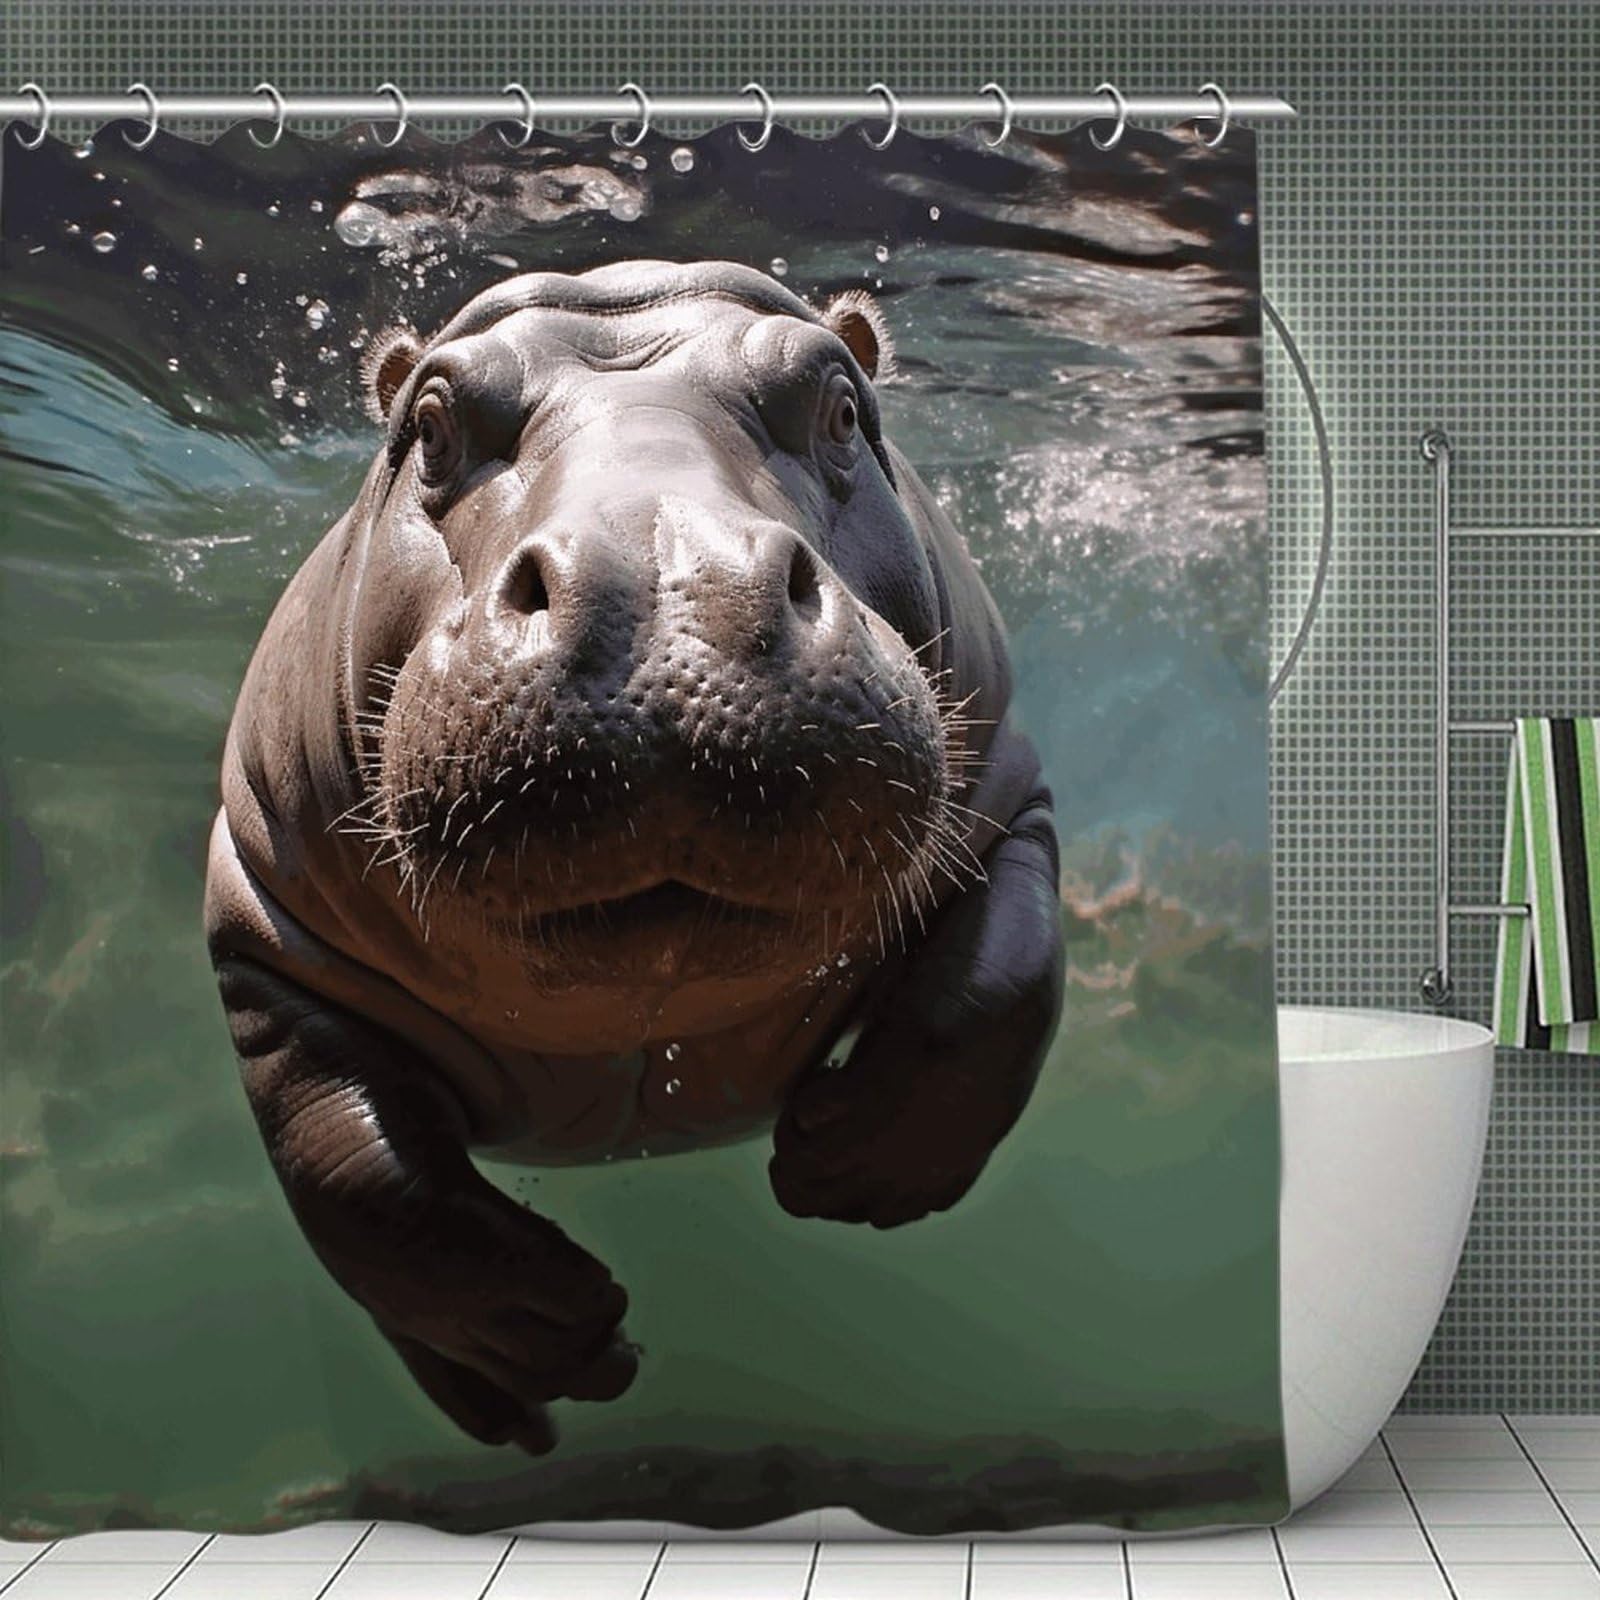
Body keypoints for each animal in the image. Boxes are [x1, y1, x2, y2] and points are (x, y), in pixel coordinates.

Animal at [203, 260, 1064, 1456]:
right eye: (431, 424)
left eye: (842, 408)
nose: (663, 580)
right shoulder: (261, 915)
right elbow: (351, 1166)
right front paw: (556, 1331)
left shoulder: (1007, 802)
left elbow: (995, 989)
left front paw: (849, 1170)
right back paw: (509, 1417)